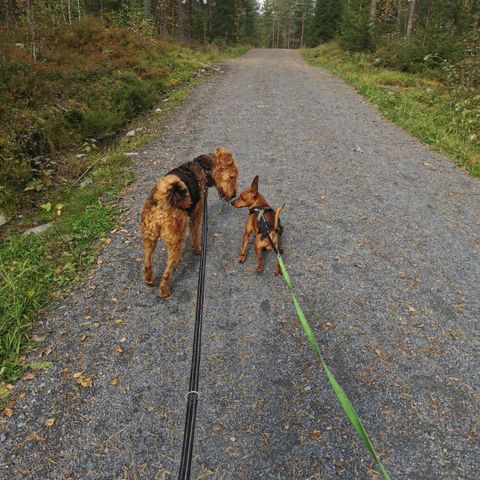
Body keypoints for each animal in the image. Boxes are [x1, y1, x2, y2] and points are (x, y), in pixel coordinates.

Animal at [142, 146, 239, 296]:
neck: (203, 167)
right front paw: (197, 249)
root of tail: (162, 199)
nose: (234, 195)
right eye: (232, 176)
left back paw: (149, 280)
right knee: (166, 272)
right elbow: (195, 234)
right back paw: (165, 291)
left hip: (149, 237)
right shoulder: (197, 214)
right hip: (176, 242)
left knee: (147, 263)